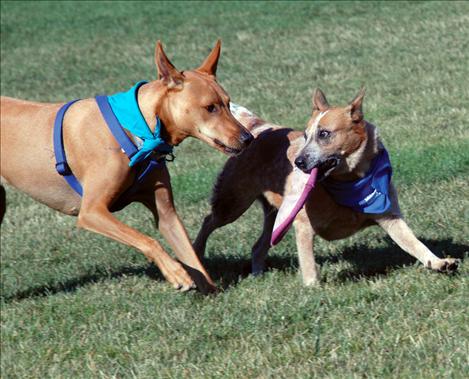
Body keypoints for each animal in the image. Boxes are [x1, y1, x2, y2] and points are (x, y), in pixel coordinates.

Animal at [0, 40, 252, 292]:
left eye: (228, 104)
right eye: (210, 108)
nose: (248, 138)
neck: (139, 129)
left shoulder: (167, 215)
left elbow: (191, 256)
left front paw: (211, 290)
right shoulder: (92, 211)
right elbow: (148, 240)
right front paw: (176, 273)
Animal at [194, 89, 458, 284]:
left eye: (324, 133)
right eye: (306, 135)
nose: (298, 162)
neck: (350, 181)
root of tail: (259, 129)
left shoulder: (389, 215)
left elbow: (413, 242)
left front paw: (439, 262)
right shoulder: (302, 223)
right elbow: (308, 261)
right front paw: (313, 288)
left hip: (277, 215)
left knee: (258, 245)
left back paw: (258, 274)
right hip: (234, 201)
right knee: (209, 220)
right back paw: (197, 253)